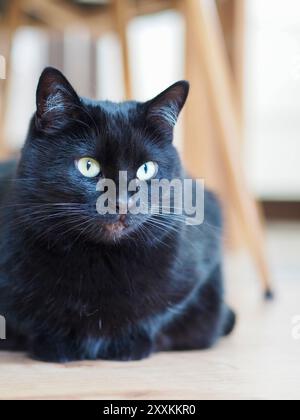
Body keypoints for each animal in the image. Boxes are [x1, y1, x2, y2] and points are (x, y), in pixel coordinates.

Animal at [0, 68, 234, 360]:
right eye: (88, 165)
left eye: (146, 169)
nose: (122, 202)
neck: (101, 260)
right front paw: (56, 346)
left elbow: (160, 314)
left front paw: (129, 344)